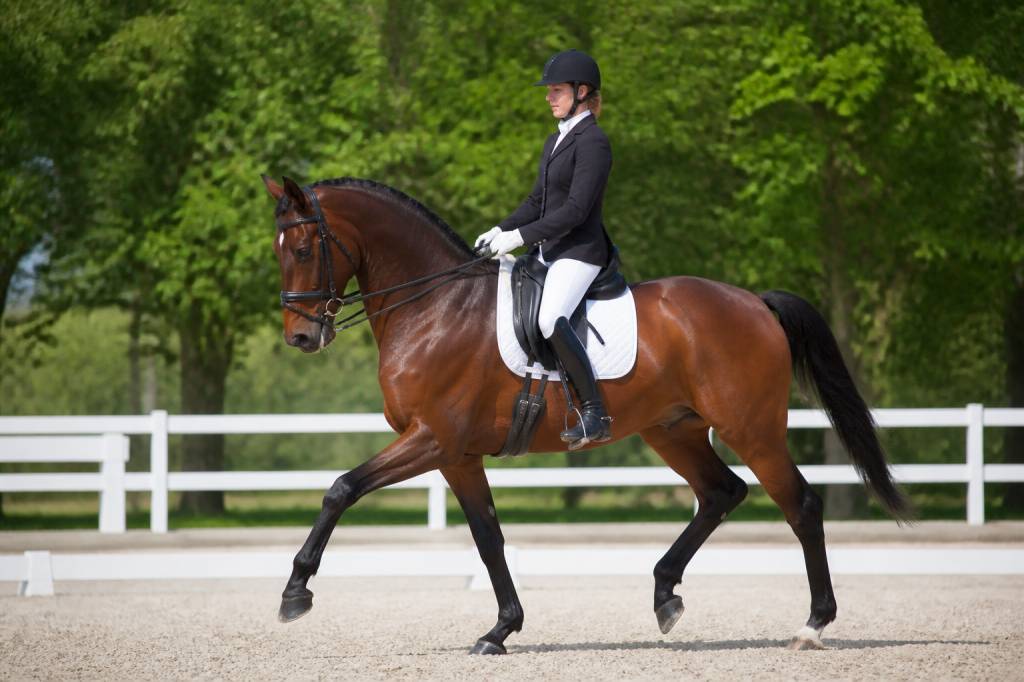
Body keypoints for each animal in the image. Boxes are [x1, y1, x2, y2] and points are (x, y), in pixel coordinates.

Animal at [262, 174, 909, 654]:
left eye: (304, 249)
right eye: (279, 251)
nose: (300, 337)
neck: (435, 306)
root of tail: (754, 301)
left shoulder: (432, 439)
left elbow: (341, 489)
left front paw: (295, 593)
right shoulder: (458, 455)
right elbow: (488, 537)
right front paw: (501, 630)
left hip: (751, 429)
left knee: (800, 505)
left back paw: (813, 624)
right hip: (673, 431)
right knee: (721, 493)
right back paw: (665, 596)